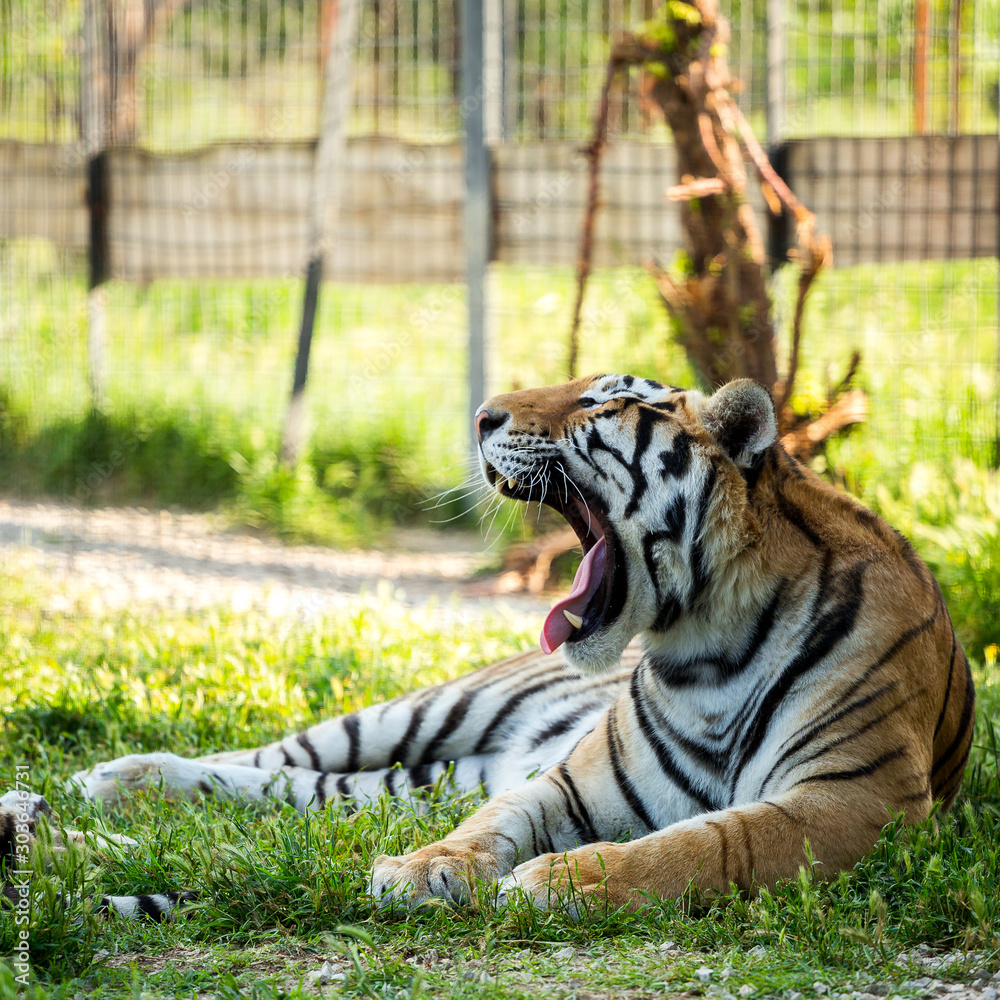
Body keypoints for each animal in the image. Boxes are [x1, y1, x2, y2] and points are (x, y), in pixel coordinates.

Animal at [67, 375, 973, 916]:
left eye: (602, 404)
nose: (480, 417)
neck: (703, 649)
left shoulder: (850, 800)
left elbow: (710, 842)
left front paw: (565, 879)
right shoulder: (573, 781)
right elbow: (498, 818)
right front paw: (424, 869)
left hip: (417, 776)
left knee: (303, 786)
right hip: (420, 713)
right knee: (269, 757)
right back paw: (115, 778)